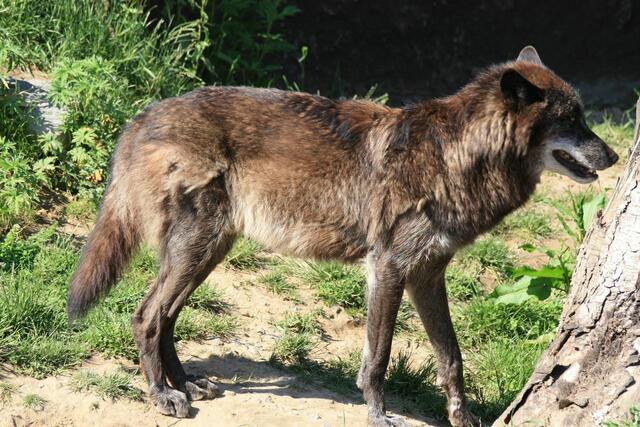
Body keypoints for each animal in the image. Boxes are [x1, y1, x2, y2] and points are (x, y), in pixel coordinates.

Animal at [67, 46, 618, 426]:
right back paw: (162, 396)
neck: (456, 156)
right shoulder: (388, 269)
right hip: (197, 249)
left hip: (208, 251)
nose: (613, 156)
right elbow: (378, 359)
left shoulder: (427, 277)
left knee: (166, 316)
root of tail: (141, 116)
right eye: (572, 120)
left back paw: (186, 384)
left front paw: (463, 419)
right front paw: (378, 415)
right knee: (146, 315)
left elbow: (452, 358)